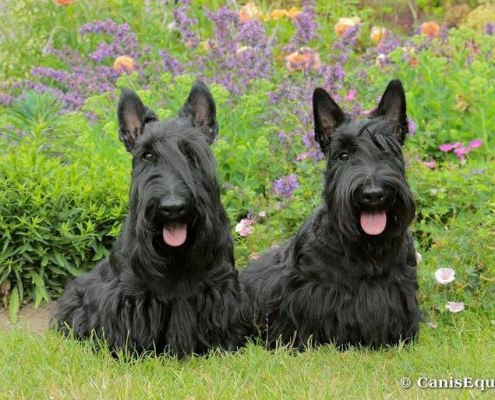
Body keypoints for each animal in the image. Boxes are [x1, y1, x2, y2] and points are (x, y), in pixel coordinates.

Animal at [53, 81, 250, 356]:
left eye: (190, 154)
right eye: (147, 155)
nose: (173, 207)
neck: (176, 256)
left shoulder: (219, 285)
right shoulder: (131, 294)